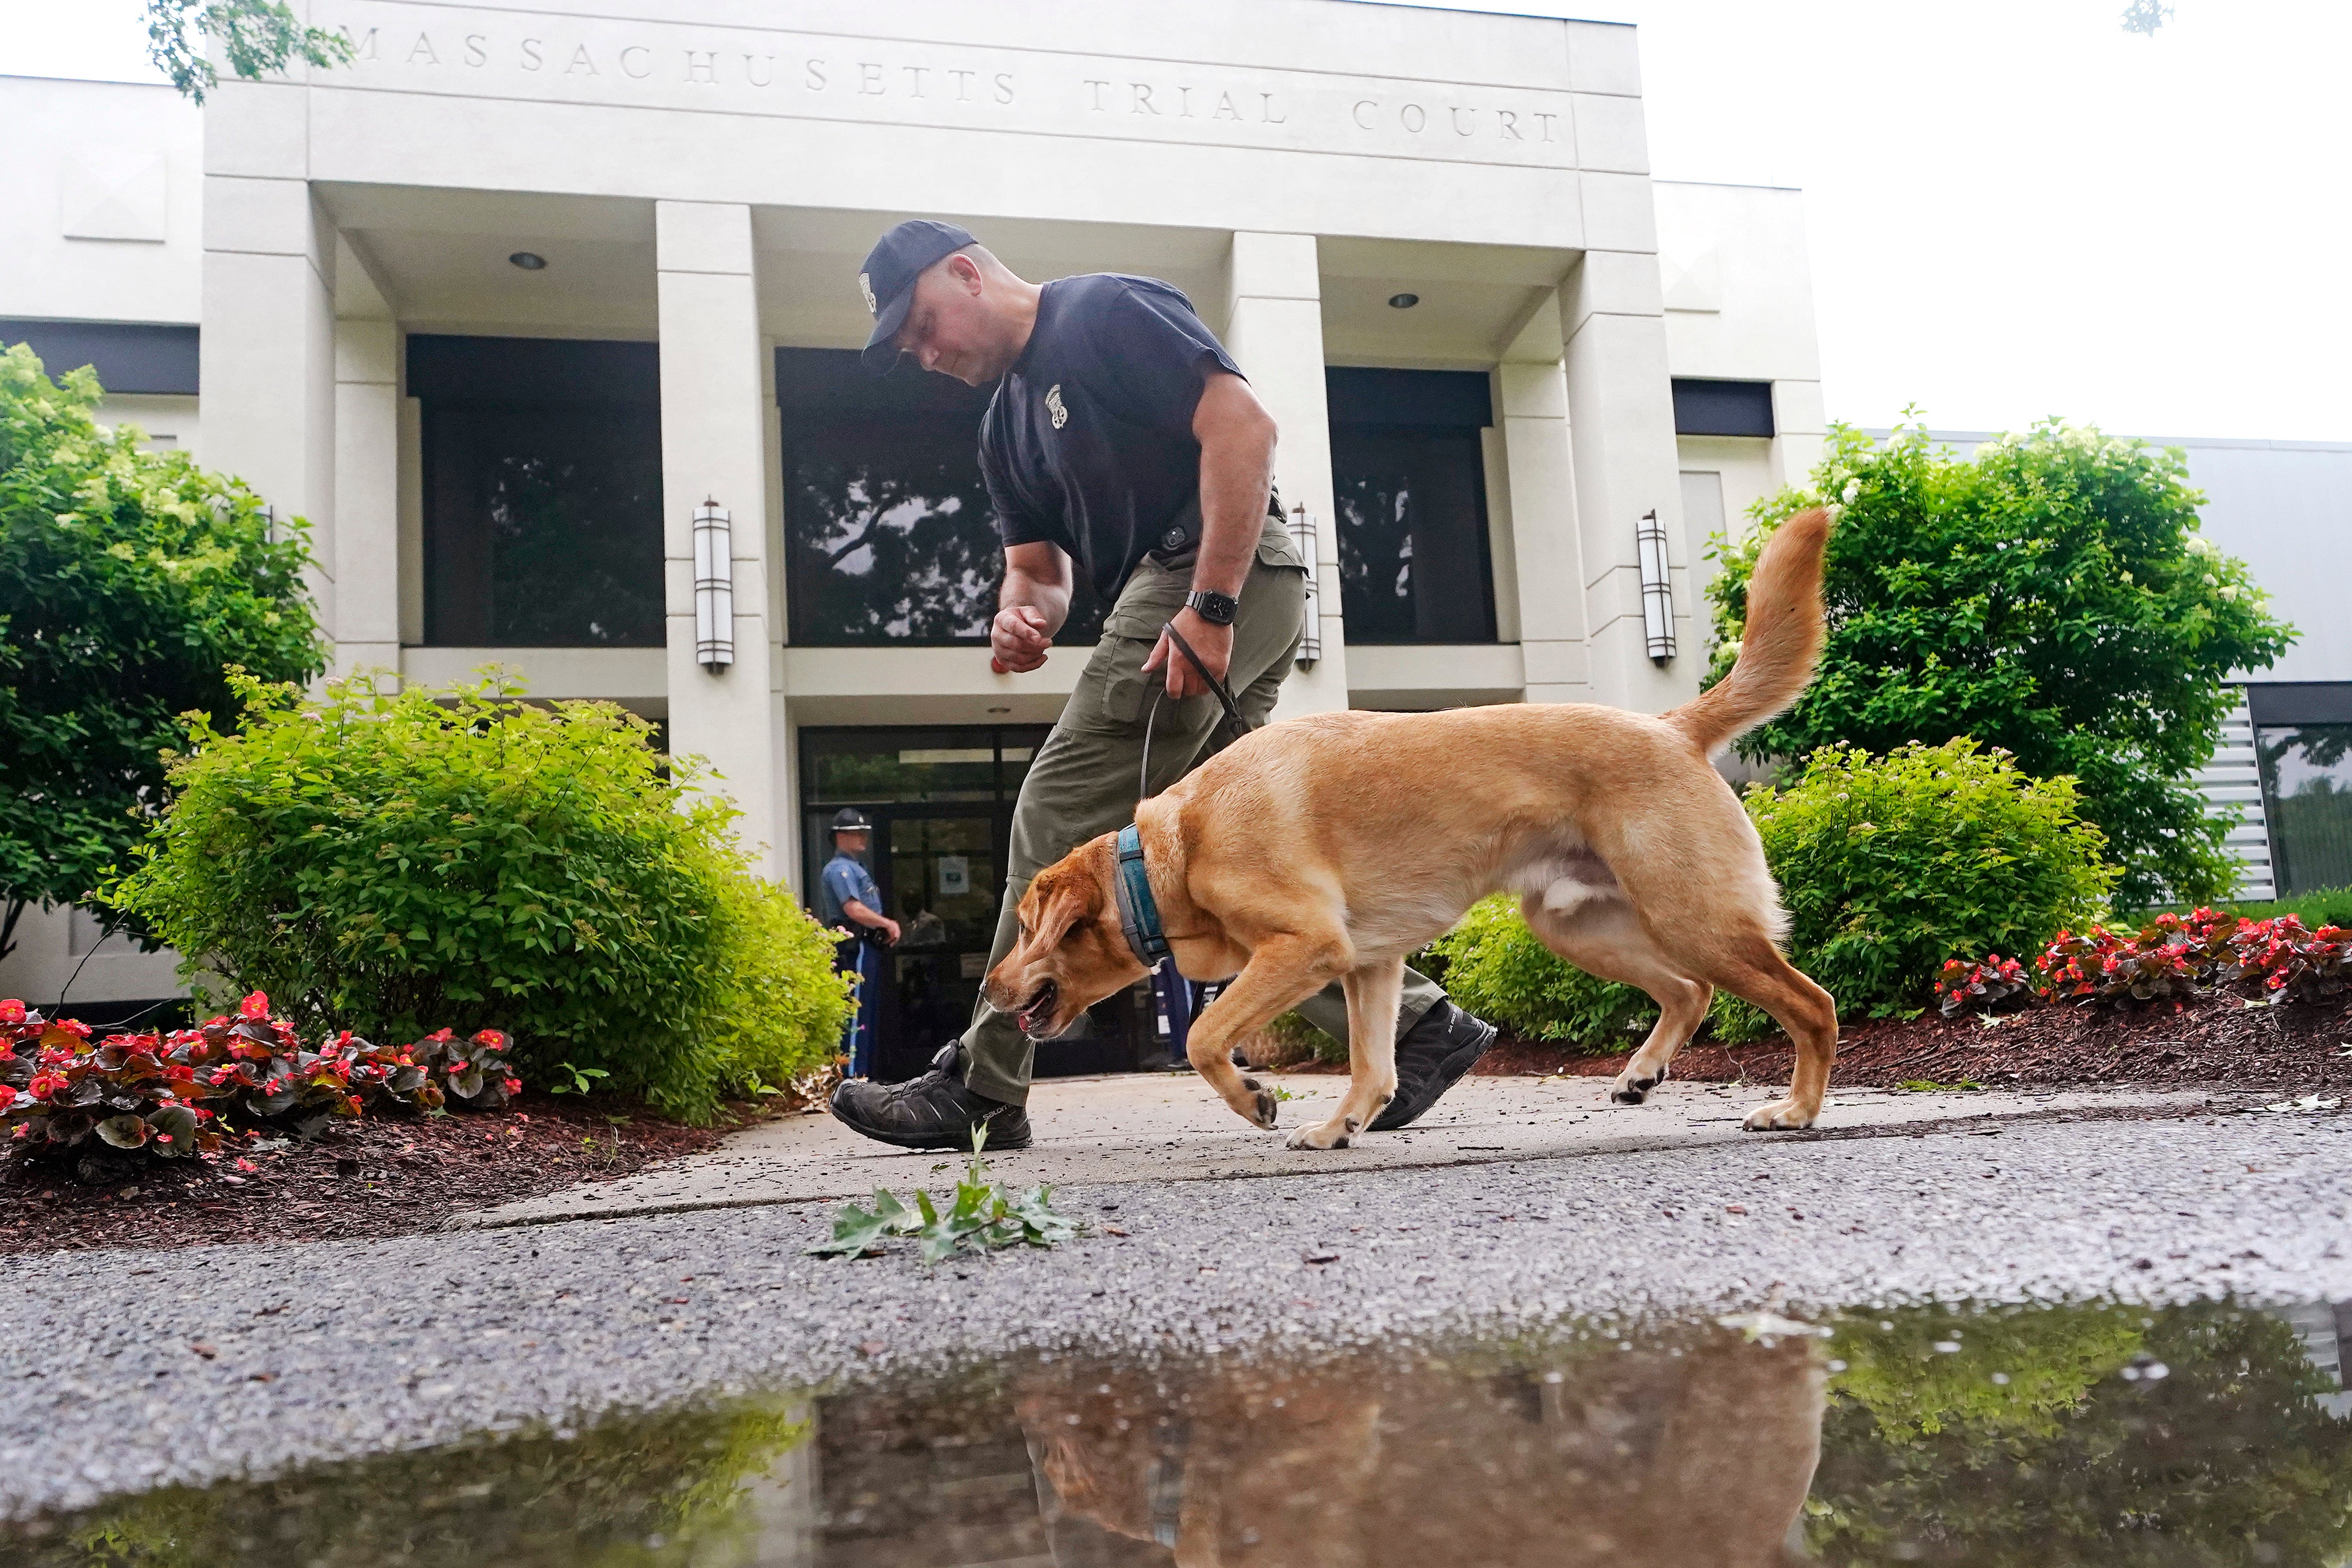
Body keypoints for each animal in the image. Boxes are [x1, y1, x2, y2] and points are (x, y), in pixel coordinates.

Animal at [992, 510, 1834, 1147]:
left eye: (1027, 926)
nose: (991, 988)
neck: (1172, 847)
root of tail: (1671, 725)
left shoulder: (1307, 946)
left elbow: (1204, 1035)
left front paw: (1257, 1098)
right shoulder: (1369, 964)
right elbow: (1373, 1065)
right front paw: (1341, 1125)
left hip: (1692, 916)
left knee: (1811, 1003)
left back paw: (1796, 1108)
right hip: (1579, 923)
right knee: (1689, 990)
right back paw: (1643, 1071)